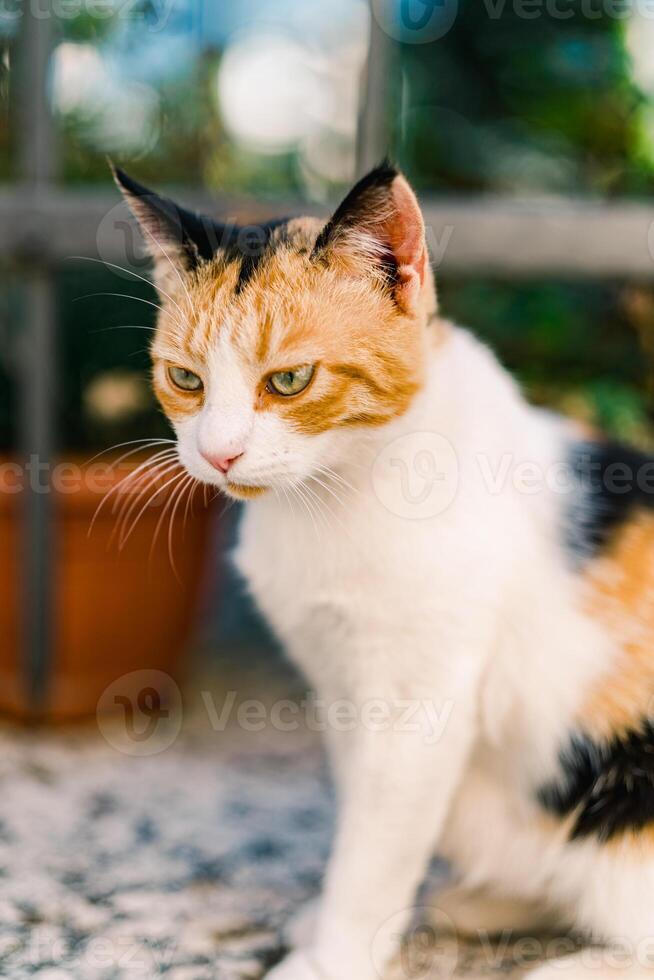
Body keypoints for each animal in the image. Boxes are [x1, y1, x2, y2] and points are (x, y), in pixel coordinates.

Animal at [115, 163, 654, 980]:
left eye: (290, 380)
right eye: (184, 378)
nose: (217, 453)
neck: (332, 498)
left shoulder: (416, 704)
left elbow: (377, 845)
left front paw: (332, 957)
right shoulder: (339, 683)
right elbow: (366, 822)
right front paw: (342, 928)